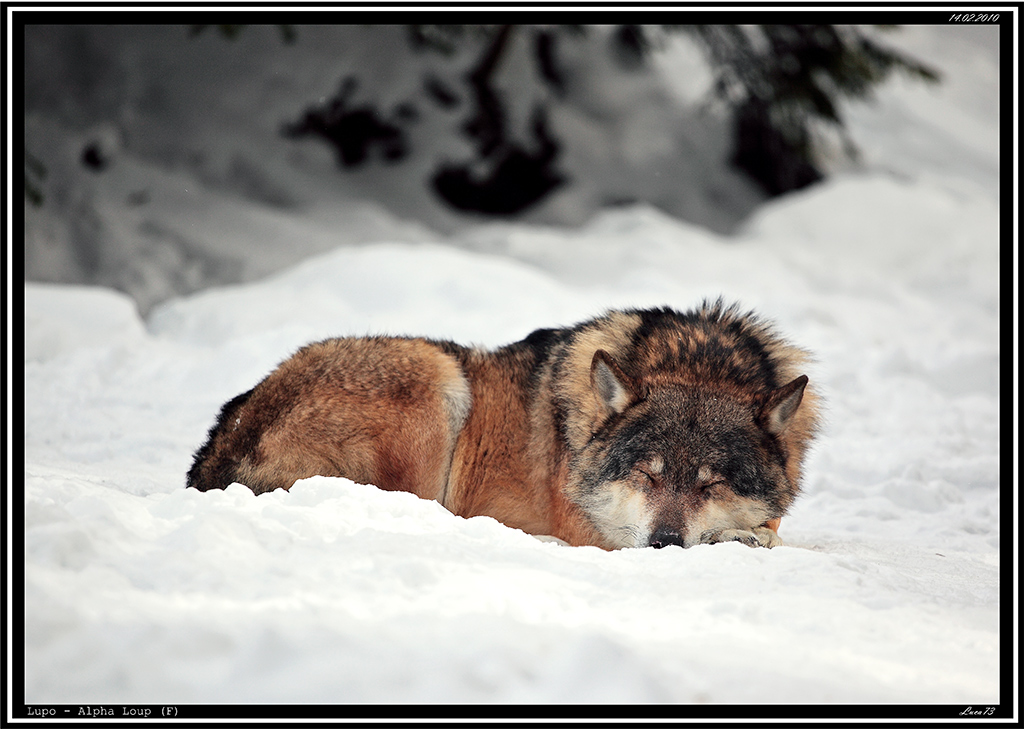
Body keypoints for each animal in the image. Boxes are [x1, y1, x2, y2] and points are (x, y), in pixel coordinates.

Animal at [187, 301, 821, 550]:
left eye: (712, 483)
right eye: (647, 475)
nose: (665, 541)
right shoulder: (593, 532)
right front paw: (738, 538)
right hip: (437, 376)